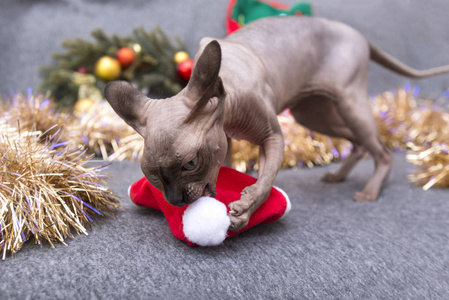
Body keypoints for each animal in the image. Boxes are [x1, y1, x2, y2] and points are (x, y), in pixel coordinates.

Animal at [104, 16, 448, 231]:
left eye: (190, 163)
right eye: (151, 175)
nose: (175, 201)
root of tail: (359, 35)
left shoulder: (272, 137)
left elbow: (266, 181)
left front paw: (245, 209)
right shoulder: (224, 139)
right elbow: (223, 167)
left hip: (349, 103)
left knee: (383, 151)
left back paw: (370, 190)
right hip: (312, 113)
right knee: (359, 142)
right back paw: (338, 175)